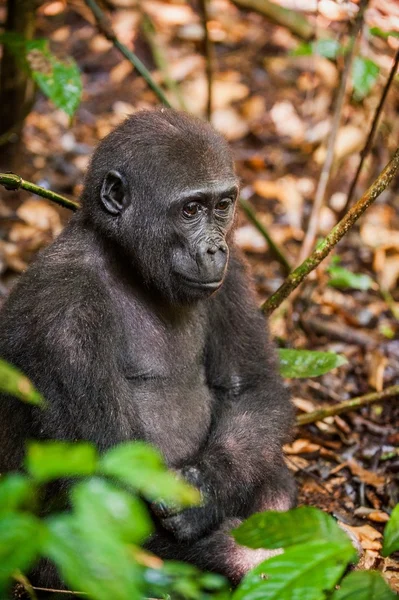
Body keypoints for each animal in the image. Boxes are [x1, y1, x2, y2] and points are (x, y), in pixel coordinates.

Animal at [0, 108, 296, 584]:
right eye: (190, 210)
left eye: (223, 206)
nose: (215, 248)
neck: (125, 261)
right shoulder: (62, 314)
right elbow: (108, 491)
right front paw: (251, 561)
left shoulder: (233, 273)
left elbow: (250, 387)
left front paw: (208, 490)